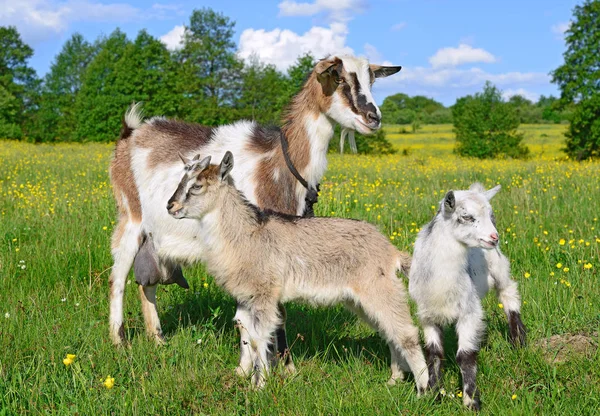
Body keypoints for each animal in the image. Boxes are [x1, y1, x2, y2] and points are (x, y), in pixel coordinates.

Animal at [108, 56, 400, 364]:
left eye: (371, 80)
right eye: (339, 77)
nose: (373, 118)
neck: (277, 164)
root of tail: (130, 133)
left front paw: (276, 363)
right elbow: (253, 316)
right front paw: (269, 365)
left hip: (154, 238)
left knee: (147, 284)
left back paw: (157, 339)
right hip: (130, 216)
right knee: (118, 279)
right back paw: (119, 341)